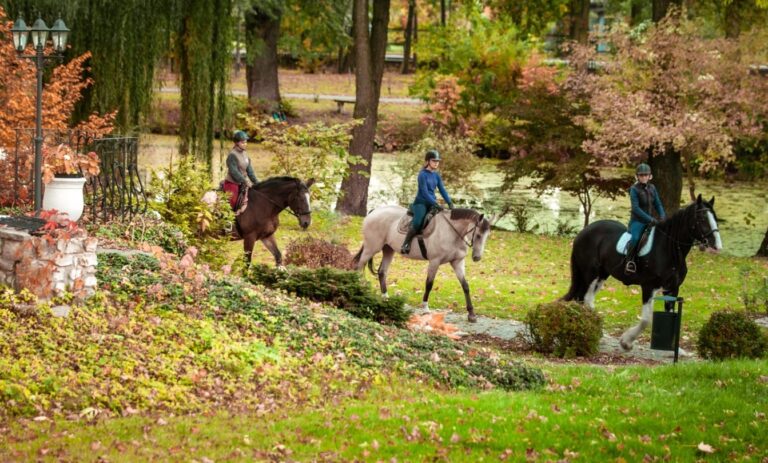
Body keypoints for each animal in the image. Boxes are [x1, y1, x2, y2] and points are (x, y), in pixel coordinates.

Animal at [352, 207, 492, 322]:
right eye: (478, 235)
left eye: (486, 236)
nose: (477, 257)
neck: (451, 232)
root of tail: (374, 211)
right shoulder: (435, 261)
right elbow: (429, 284)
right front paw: (425, 309)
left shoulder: (457, 262)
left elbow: (465, 286)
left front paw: (471, 314)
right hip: (371, 248)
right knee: (359, 267)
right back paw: (359, 289)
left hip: (388, 249)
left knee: (382, 272)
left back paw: (386, 298)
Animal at [564, 196, 720, 352]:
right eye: (701, 218)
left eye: (715, 217)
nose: (716, 245)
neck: (669, 249)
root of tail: (584, 231)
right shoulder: (648, 286)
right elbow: (646, 320)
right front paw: (626, 342)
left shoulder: (672, 289)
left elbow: (672, 315)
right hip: (590, 274)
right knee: (583, 298)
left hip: (601, 275)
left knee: (588, 299)